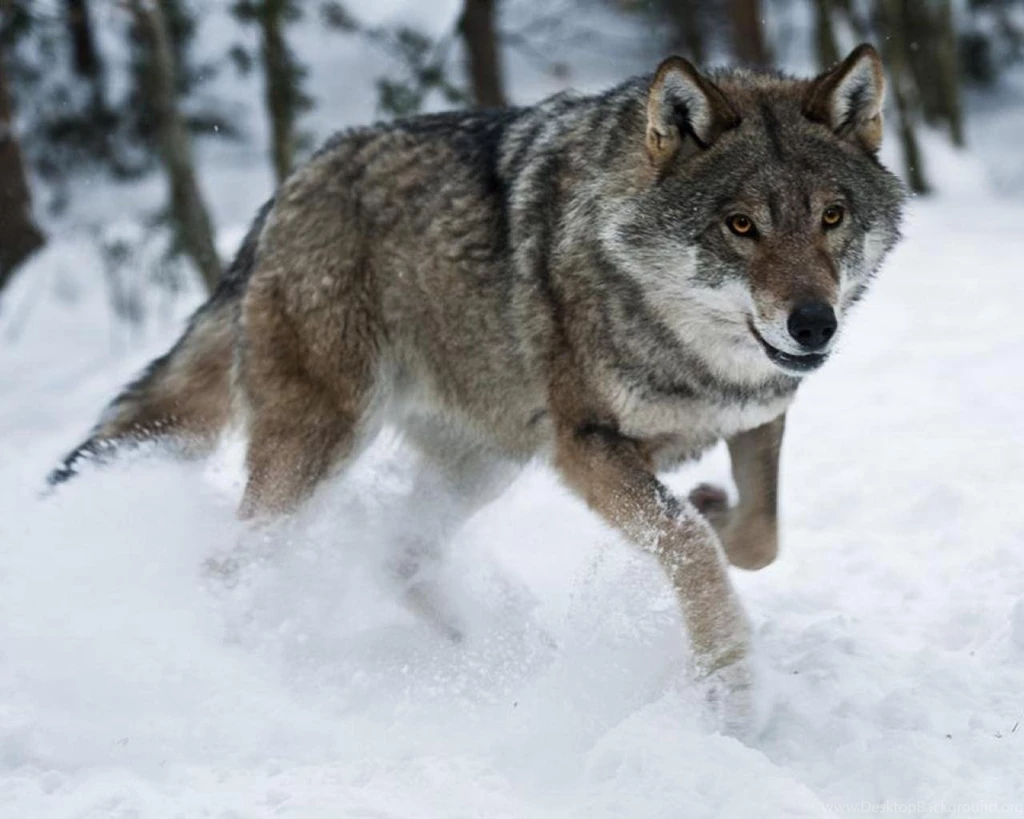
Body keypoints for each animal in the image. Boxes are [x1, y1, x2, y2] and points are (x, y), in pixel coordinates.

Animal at [50, 44, 905, 732]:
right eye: (740, 226)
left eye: (832, 216)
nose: (813, 324)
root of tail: (287, 189)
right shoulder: (584, 446)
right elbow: (691, 548)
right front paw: (734, 695)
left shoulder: (757, 417)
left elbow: (758, 537)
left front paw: (714, 509)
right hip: (325, 445)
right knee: (234, 563)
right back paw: (244, 666)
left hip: (484, 460)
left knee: (399, 554)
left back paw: (497, 658)